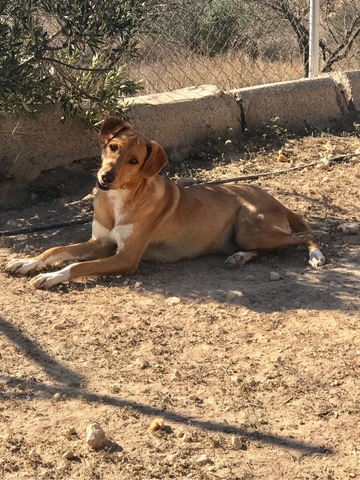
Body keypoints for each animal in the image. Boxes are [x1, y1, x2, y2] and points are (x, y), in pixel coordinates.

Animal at [6, 118, 326, 288]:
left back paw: (315, 255)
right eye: (113, 147)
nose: (106, 177)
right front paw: (27, 261)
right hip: (246, 236)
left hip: (252, 229)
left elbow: (77, 266)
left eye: (134, 161)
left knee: (303, 235)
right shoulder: (101, 243)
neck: (118, 200)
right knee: (264, 249)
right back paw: (238, 258)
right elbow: (56, 249)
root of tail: (275, 200)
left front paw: (50, 276)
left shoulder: (126, 257)